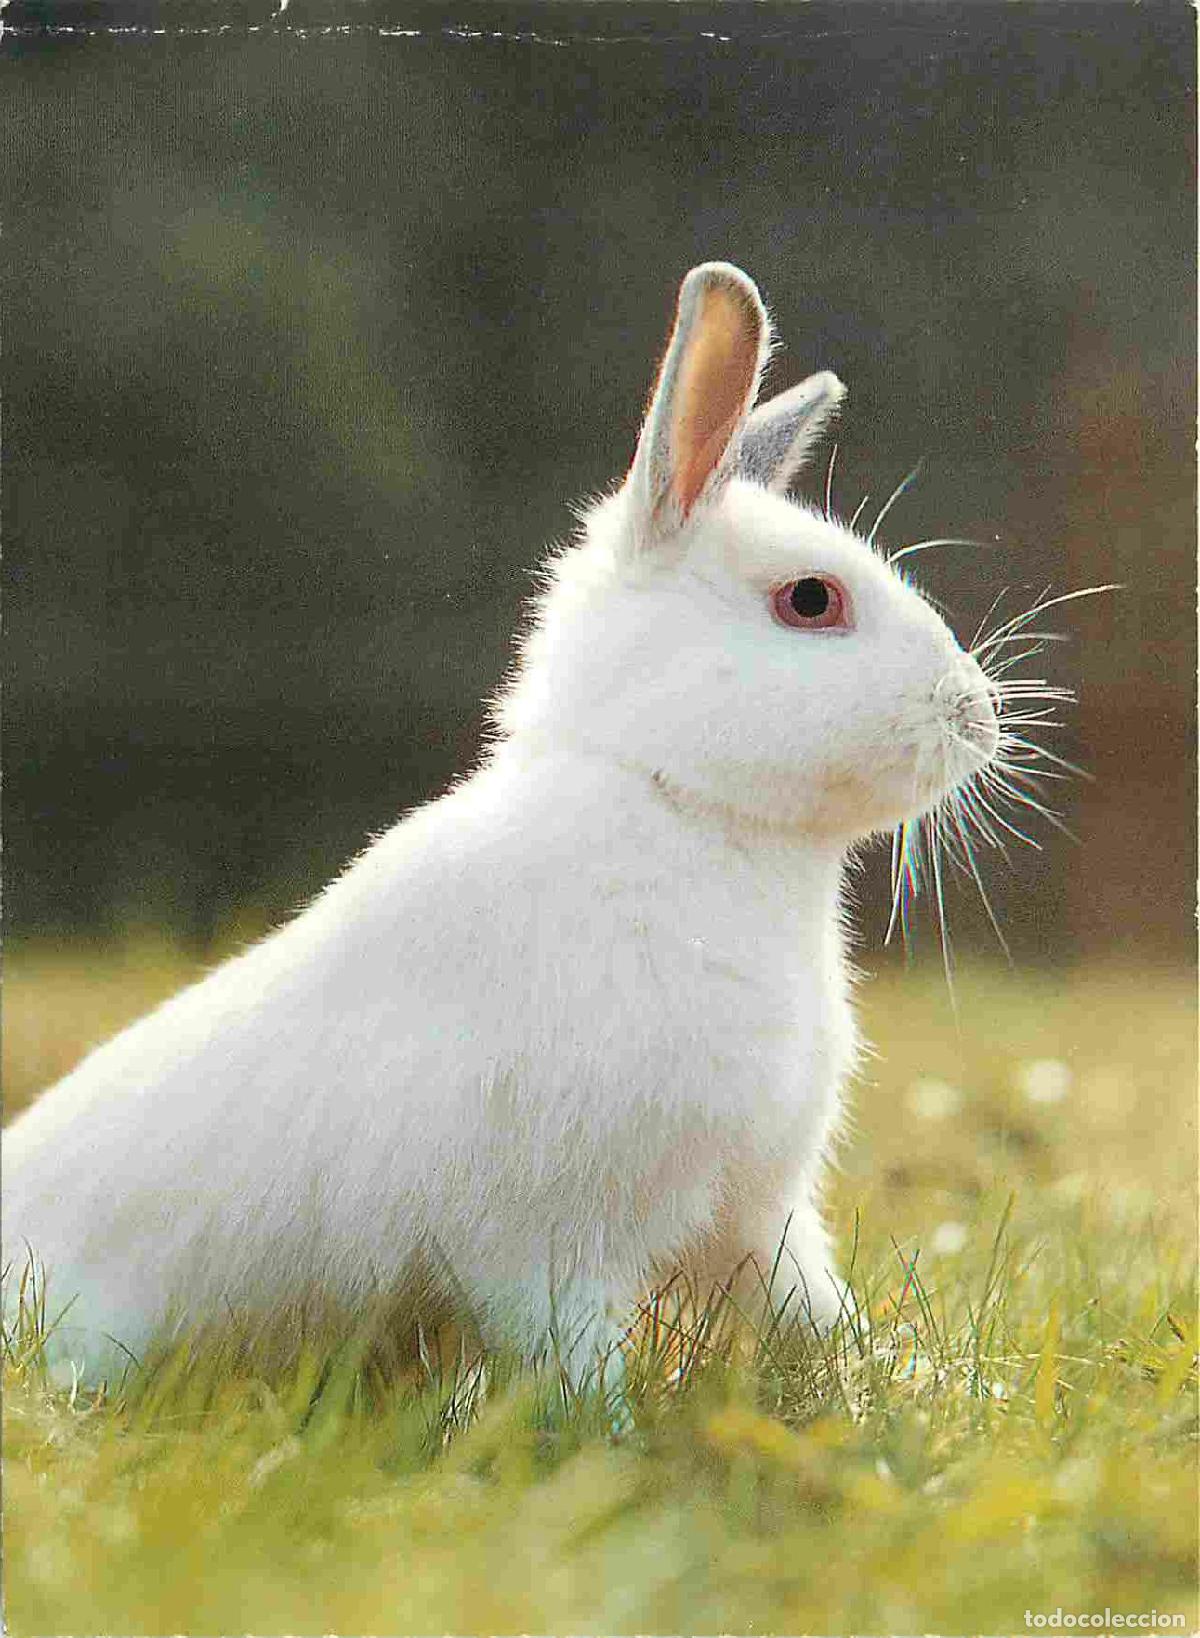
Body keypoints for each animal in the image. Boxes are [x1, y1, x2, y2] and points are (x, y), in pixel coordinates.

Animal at [2, 262, 1001, 1391]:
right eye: (811, 600)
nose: (980, 717)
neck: (671, 800)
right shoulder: (548, 1248)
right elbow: (576, 1364)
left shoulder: (757, 1214)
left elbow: (808, 1314)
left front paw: (894, 1388)